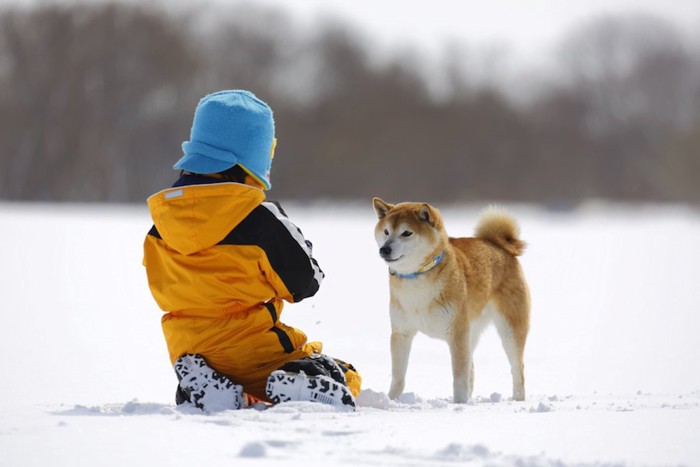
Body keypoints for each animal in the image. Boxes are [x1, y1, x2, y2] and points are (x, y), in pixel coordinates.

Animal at [372, 197, 532, 402]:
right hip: (472, 331)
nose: (384, 249)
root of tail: (499, 245)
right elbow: (398, 377)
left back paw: (517, 399)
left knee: (517, 369)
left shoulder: (457, 333)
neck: (416, 278)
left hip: (508, 330)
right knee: (472, 368)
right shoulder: (401, 332)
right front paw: (391, 400)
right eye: (386, 232)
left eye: (406, 233)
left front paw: (459, 403)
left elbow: (459, 377)